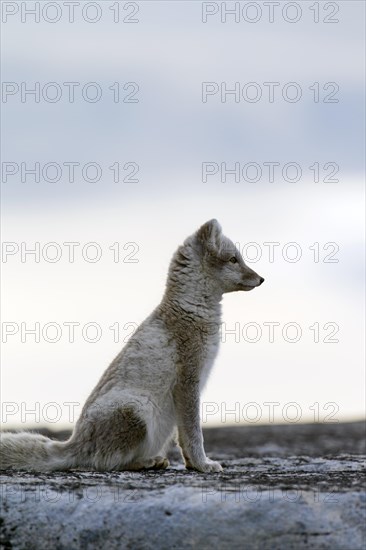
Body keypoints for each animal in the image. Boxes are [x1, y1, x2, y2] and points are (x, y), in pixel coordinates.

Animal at [0, 220, 264, 474]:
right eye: (234, 259)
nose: (262, 279)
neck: (190, 310)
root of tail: (73, 444)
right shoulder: (189, 380)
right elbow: (193, 434)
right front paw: (203, 465)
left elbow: (185, 437)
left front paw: (193, 464)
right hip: (137, 410)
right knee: (103, 464)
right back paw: (145, 462)